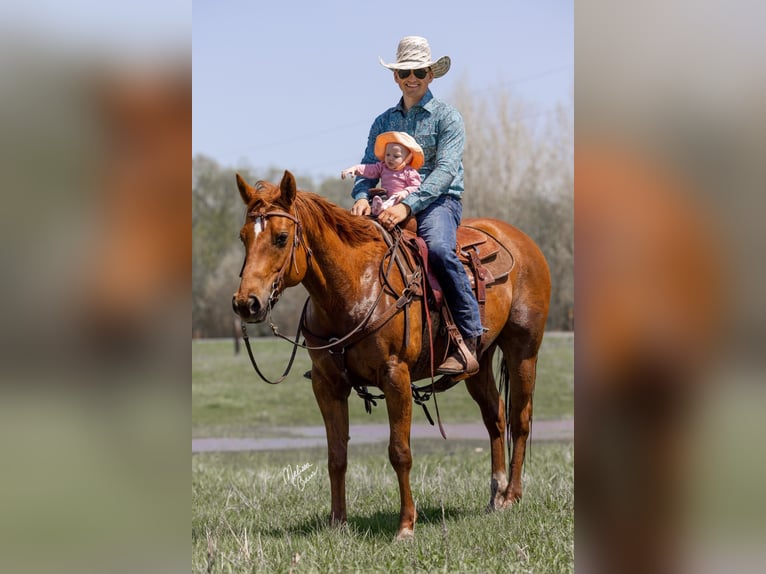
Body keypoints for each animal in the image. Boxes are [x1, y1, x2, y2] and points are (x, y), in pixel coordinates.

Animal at [234, 171, 552, 540]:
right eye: (243, 237)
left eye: (282, 237)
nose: (246, 303)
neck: (354, 286)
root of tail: (521, 240)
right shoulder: (327, 385)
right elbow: (336, 455)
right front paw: (337, 522)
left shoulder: (395, 377)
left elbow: (400, 452)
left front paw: (405, 526)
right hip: (479, 362)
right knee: (495, 416)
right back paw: (496, 495)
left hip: (523, 350)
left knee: (520, 418)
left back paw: (513, 494)